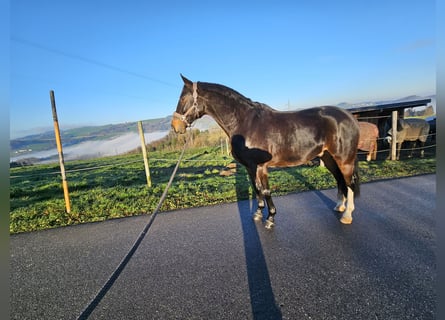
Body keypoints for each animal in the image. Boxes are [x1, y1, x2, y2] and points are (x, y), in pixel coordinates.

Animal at [172, 75, 360, 228]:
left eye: (183, 98)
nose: (175, 126)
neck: (246, 123)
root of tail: (350, 117)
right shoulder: (250, 167)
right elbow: (257, 189)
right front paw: (258, 213)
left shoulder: (261, 166)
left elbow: (266, 190)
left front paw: (270, 219)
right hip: (329, 158)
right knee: (340, 180)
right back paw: (339, 206)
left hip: (345, 160)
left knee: (349, 183)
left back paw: (347, 215)